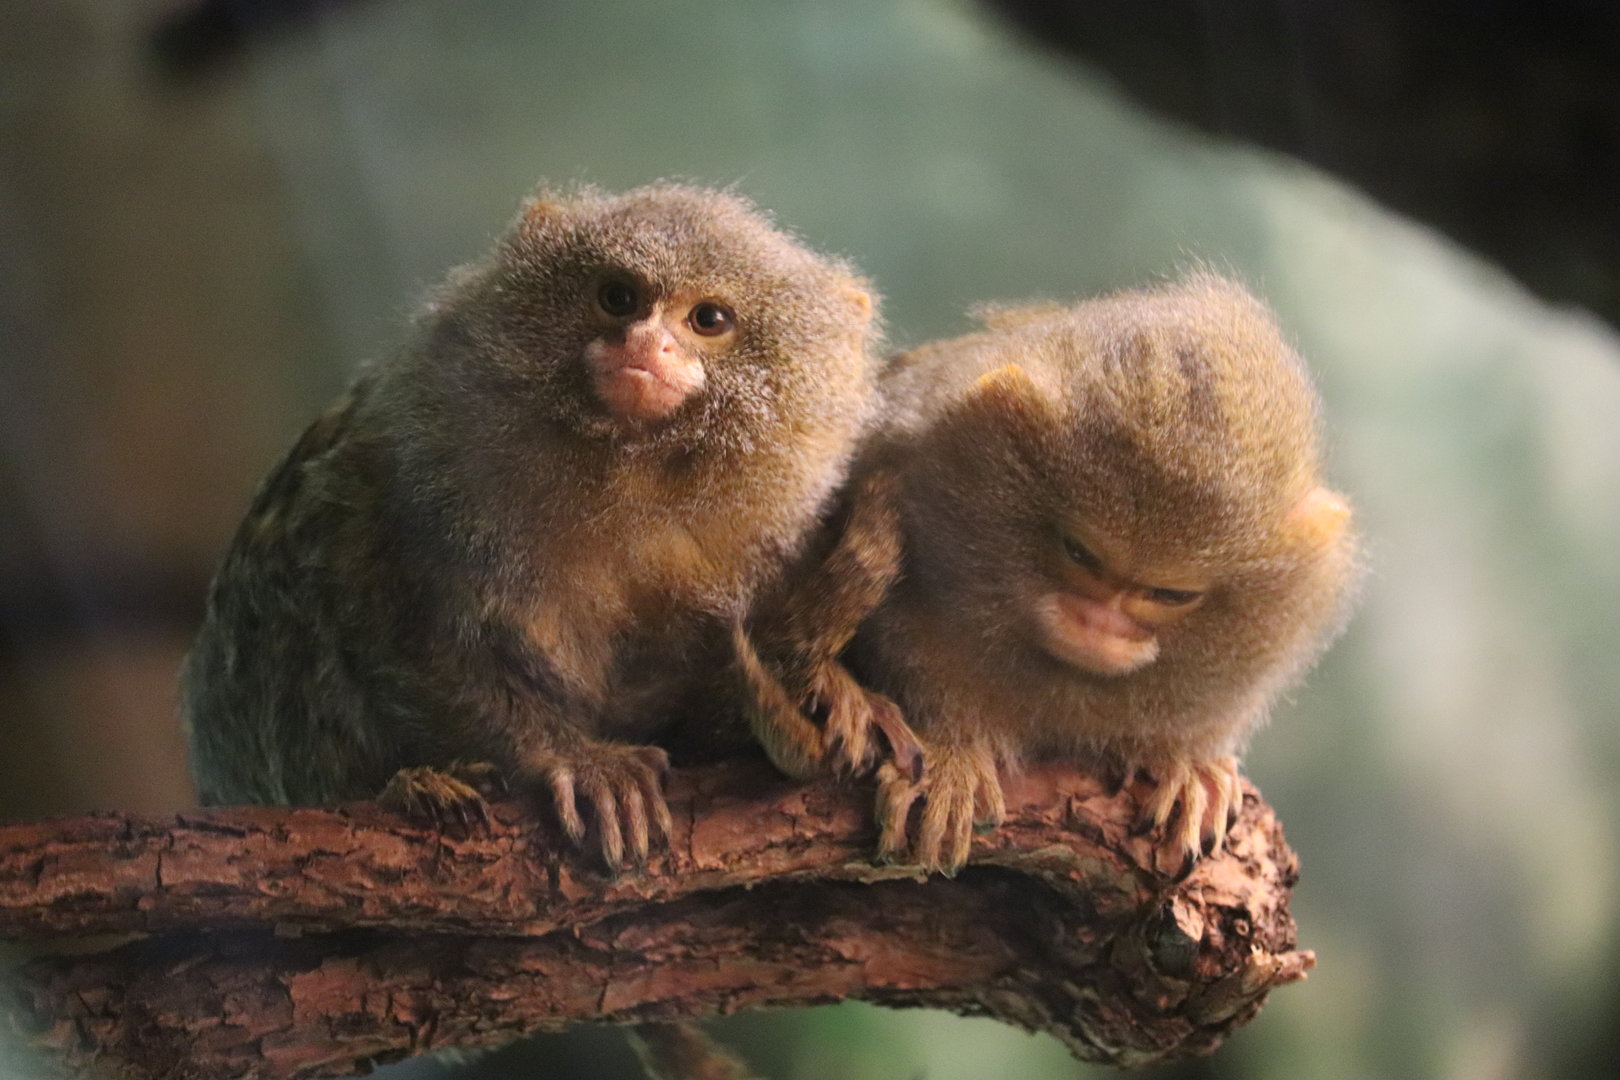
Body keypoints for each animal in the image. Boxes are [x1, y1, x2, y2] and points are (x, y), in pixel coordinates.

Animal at [180, 183, 883, 872]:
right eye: (618, 298)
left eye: (708, 320)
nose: (644, 344)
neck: (634, 473)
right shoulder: (415, 471)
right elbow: (397, 624)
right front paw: (580, 762)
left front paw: (830, 690)